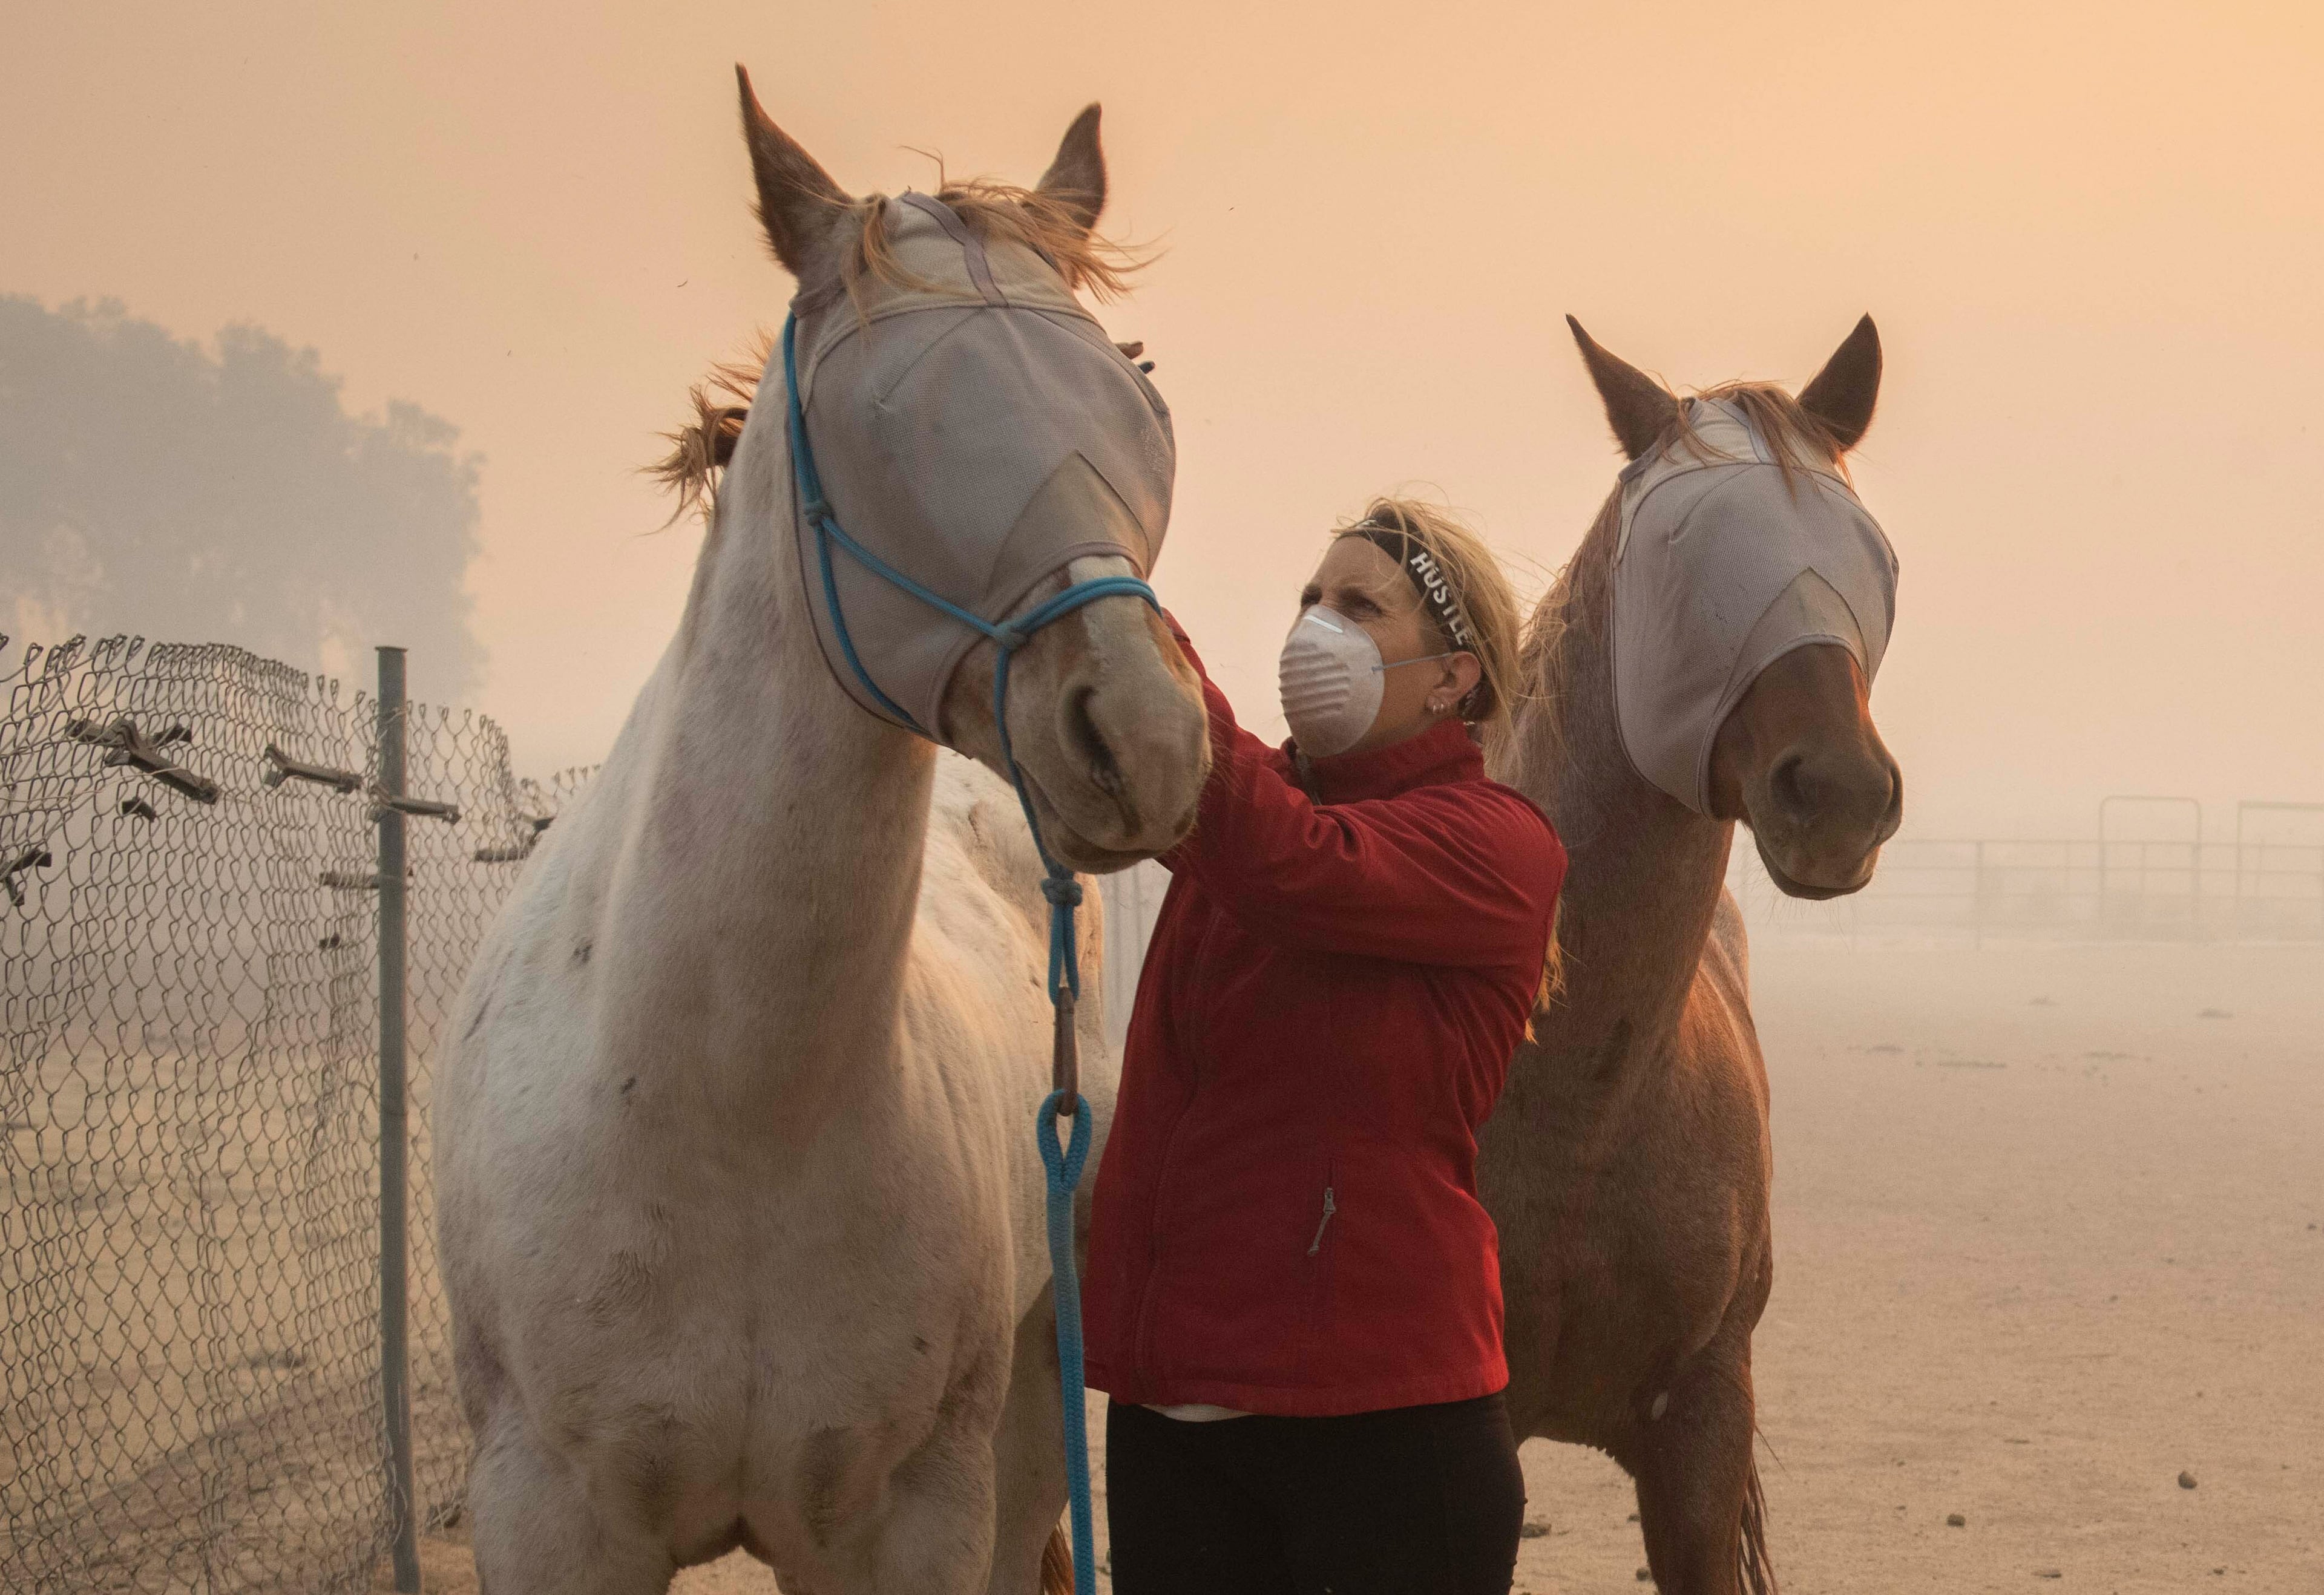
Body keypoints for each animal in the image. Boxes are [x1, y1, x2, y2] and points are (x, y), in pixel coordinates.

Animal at [433, 70, 1209, 1595]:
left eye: (1137, 392)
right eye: (882, 418)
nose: (1144, 736)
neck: (733, 1112)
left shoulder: (906, 1516)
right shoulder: (547, 1515)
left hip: (1031, 1407)